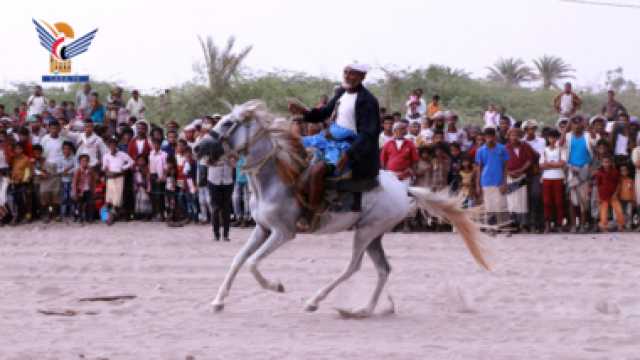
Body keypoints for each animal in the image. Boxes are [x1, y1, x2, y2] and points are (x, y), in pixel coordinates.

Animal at [195, 100, 490, 316]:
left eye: (228, 123)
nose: (198, 147)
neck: (277, 178)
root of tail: (404, 188)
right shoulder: (262, 229)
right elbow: (239, 260)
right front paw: (218, 301)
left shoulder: (283, 233)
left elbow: (253, 264)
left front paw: (276, 286)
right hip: (374, 235)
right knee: (383, 269)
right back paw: (365, 310)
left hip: (365, 232)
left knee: (353, 267)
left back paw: (315, 301)